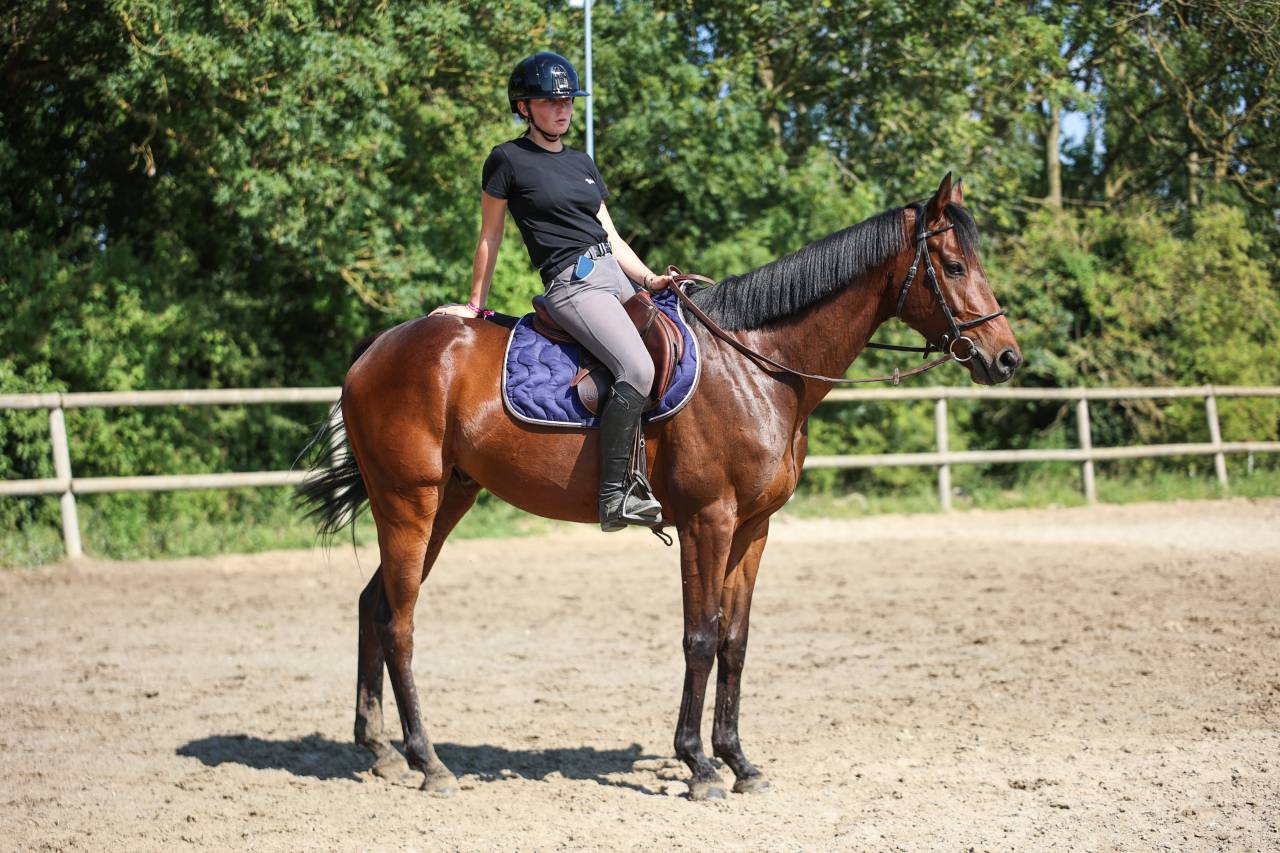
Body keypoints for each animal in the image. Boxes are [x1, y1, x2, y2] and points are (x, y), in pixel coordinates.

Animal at [298, 173, 1022, 800]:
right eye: (954, 266)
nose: (1007, 357)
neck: (757, 365)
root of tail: (378, 348)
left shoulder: (753, 529)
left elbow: (735, 641)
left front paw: (739, 761)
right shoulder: (709, 519)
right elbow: (699, 637)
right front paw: (699, 765)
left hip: (447, 499)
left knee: (375, 603)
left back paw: (382, 750)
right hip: (409, 501)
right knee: (399, 621)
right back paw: (429, 761)